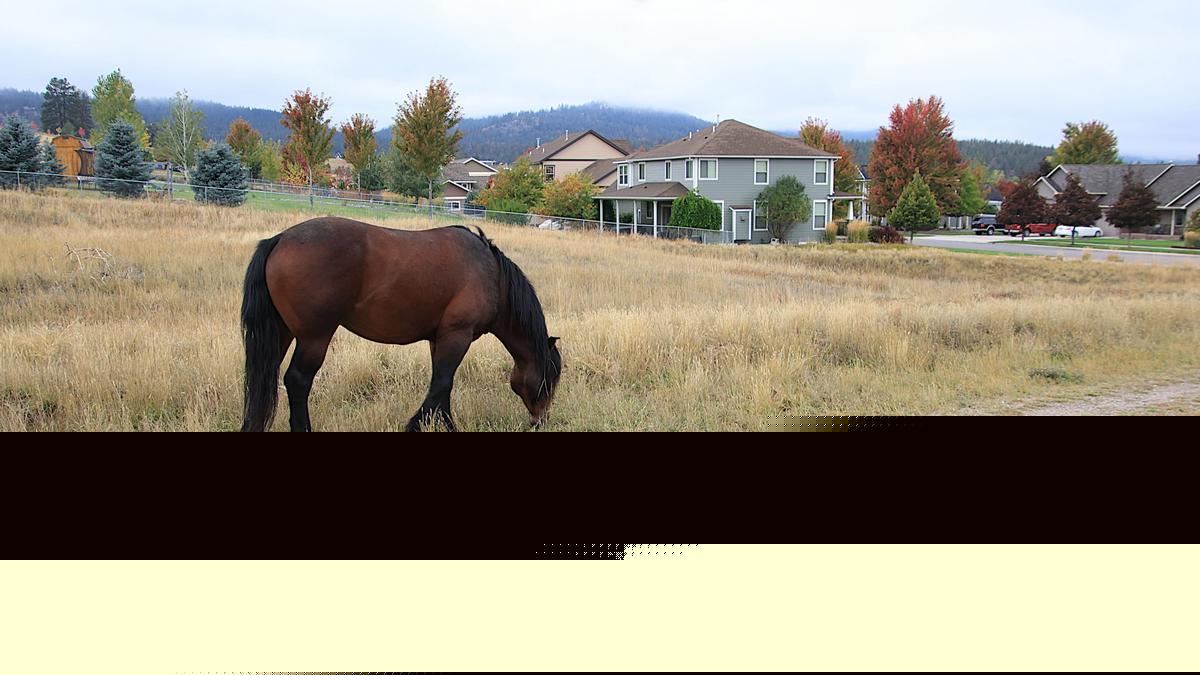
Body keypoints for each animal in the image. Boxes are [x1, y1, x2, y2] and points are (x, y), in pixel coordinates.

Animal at [238, 216, 562, 432]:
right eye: (550, 377)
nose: (540, 421)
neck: (491, 274)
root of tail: (279, 239)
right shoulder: (457, 336)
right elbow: (441, 384)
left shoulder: (439, 339)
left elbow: (442, 390)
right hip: (314, 338)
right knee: (297, 381)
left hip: (282, 334)